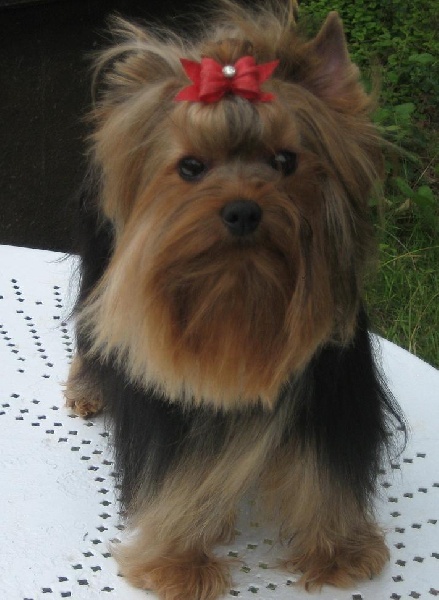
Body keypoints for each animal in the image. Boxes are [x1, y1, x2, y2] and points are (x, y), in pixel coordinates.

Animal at [65, 1, 406, 598]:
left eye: (286, 161)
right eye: (191, 168)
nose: (243, 210)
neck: (240, 292)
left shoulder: (331, 390)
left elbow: (326, 469)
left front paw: (338, 550)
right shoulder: (173, 410)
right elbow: (179, 474)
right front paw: (178, 562)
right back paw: (88, 390)